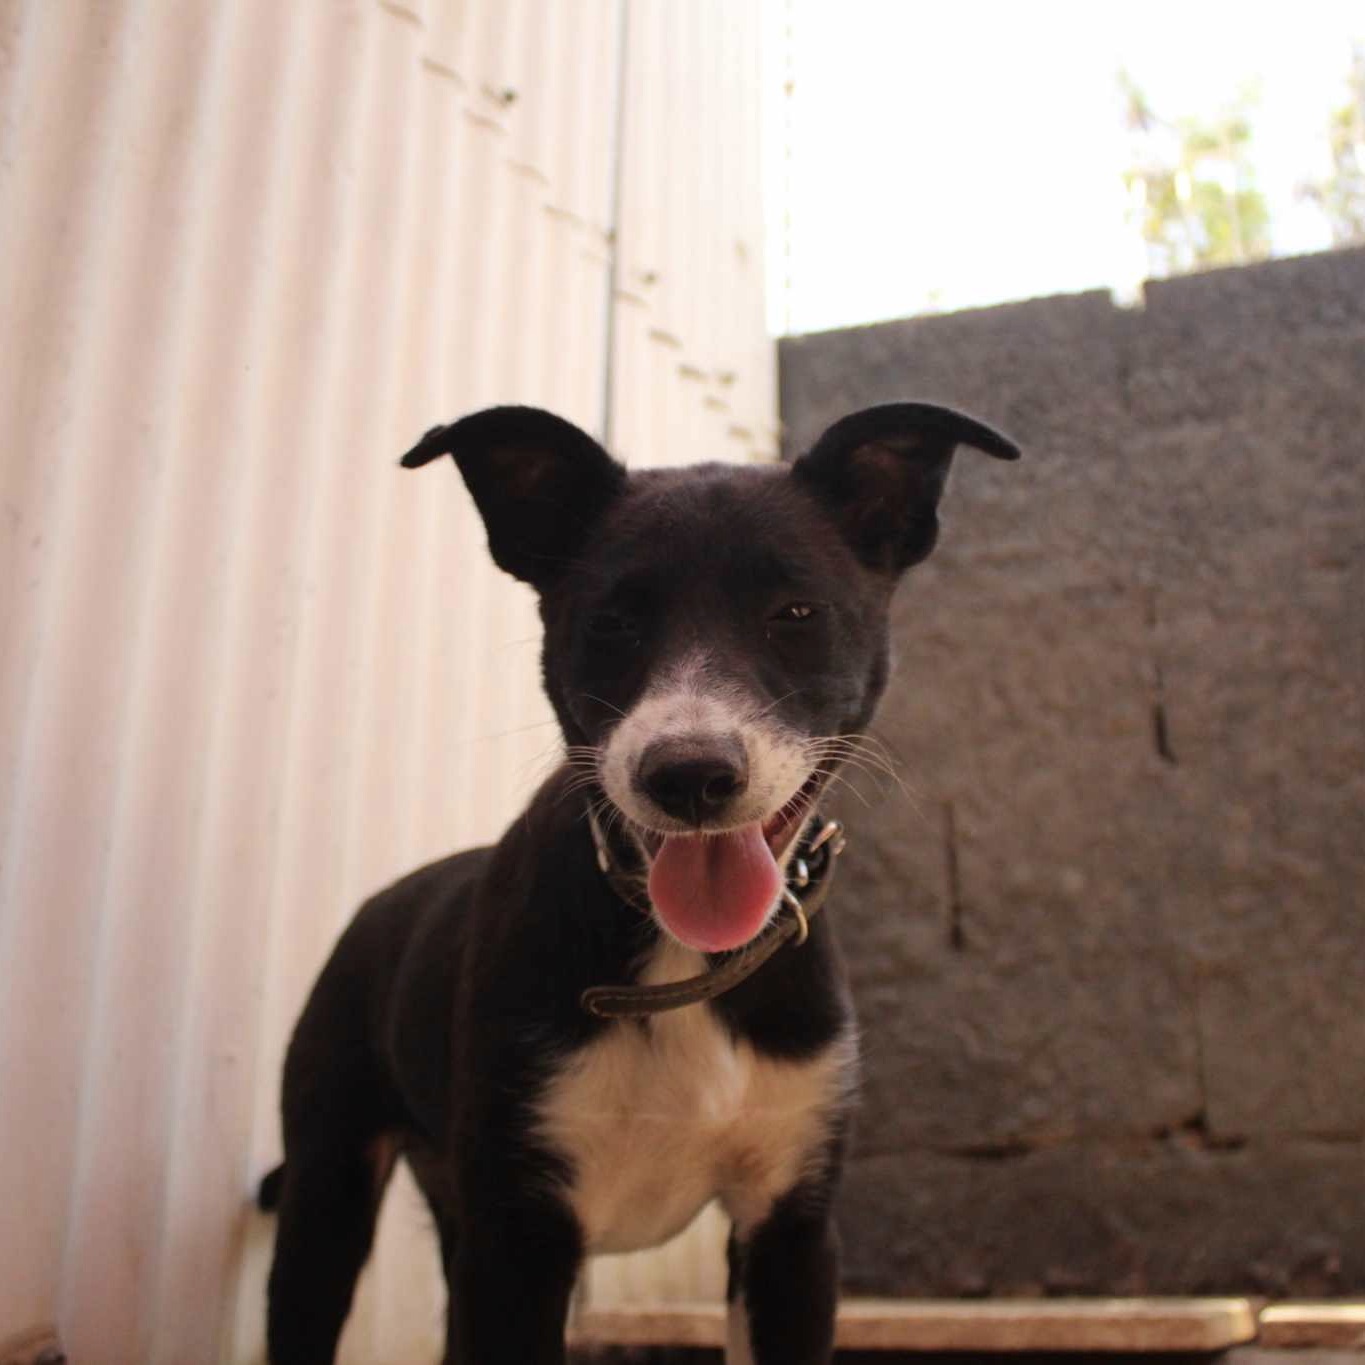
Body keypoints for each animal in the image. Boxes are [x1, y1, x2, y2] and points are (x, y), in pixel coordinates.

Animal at [260, 398, 1021, 1359]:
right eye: (612, 621)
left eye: (796, 611)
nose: (689, 775)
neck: (680, 962)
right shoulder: (514, 1238)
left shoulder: (792, 1224)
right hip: (326, 1188)